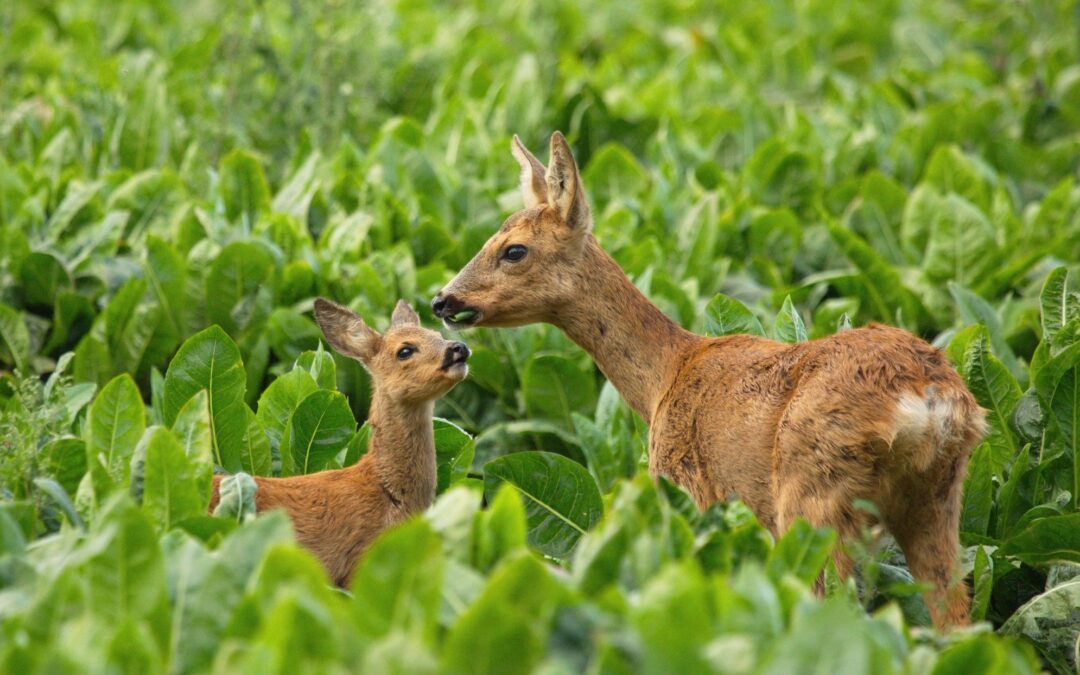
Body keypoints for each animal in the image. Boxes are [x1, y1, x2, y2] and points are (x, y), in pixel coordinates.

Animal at [432, 131, 989, 626]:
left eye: (514, 250)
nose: (442, 299)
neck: (666, 376)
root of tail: (928, 400)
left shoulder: (689, 490)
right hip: (937, 500)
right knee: (955, 618)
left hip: (813, 497)